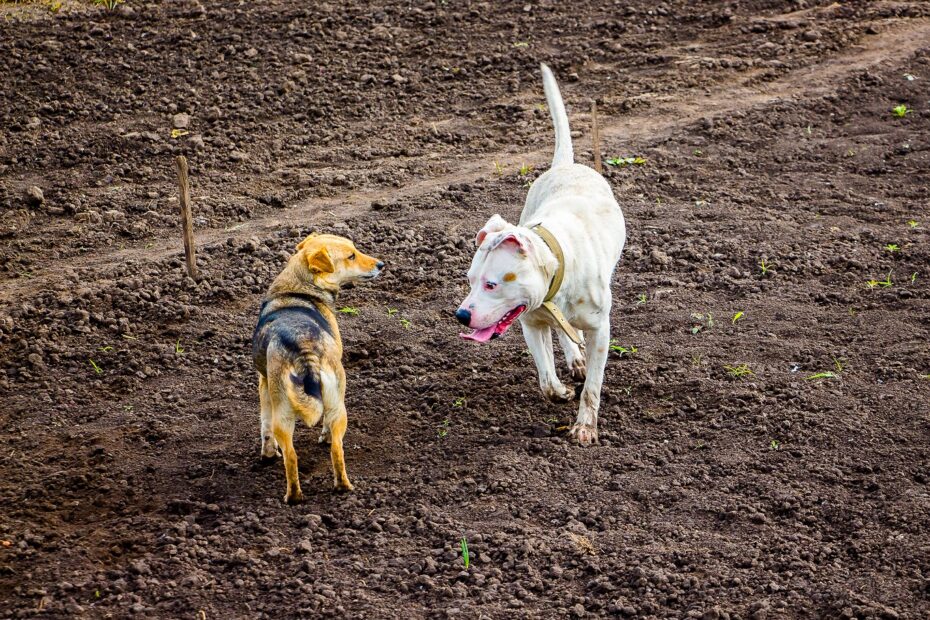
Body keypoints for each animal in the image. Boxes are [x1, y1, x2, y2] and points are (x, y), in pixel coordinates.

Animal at [252, 232, 382, 504]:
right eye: (351, 255)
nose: (381, 264)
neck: (299, 286)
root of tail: (304, 349)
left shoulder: (263, 382)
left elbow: (264, 424)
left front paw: (268, 454)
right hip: (338, 402)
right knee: (335, 448)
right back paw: (341, 486)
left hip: (286, 411)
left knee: (293, 455)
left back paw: (294, 497)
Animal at [454, 63, 628, 446]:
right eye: (470, 280)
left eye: (491, 285)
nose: (461, 315)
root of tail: (566, 164)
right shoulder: (530, 322)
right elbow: (546, 379)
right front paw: (561, 392)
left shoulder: (601, 331)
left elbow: (593, 387)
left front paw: (585, 427)